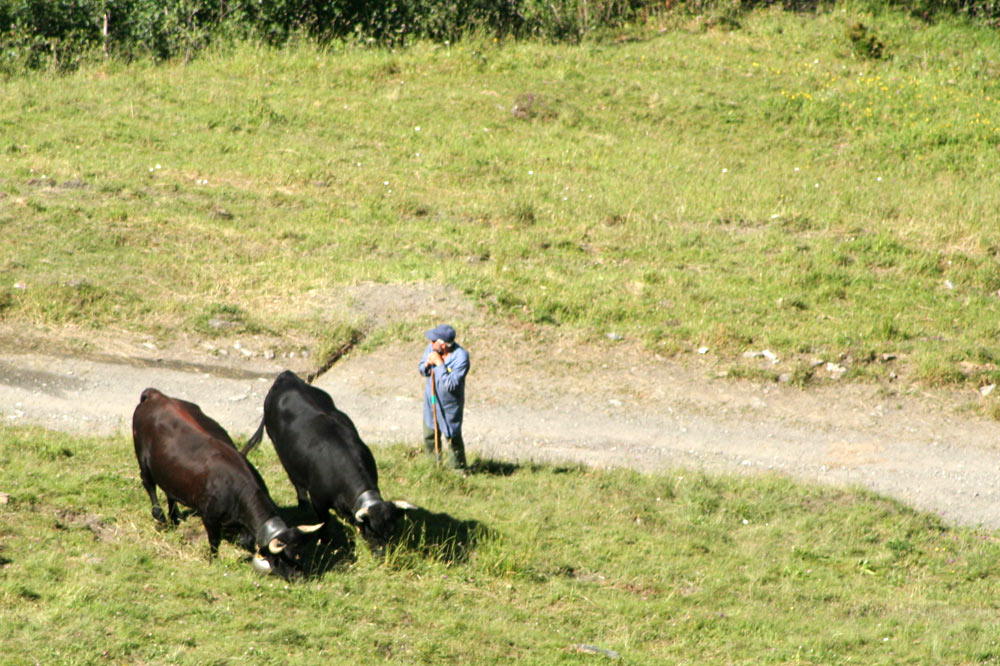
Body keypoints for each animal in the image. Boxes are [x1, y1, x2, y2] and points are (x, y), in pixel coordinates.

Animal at [132, 386, 320, 572]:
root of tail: (155, 395)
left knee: (169, 492)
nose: (299, 576)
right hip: (142, 458)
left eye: (300, 552)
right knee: (148, 484)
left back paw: (174, 517)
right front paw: (212, 560)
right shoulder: (209, 517)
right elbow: (214, 541)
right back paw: (160, 516)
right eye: (284, 557)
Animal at [242, 368, 414, 548]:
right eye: (373, 532)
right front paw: (324, 540)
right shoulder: (318, 501)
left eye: (392, 531)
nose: (382, 552)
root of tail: (286, 377)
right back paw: (302, 503)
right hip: (281, 452)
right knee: (295, 480)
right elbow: (324, 522)